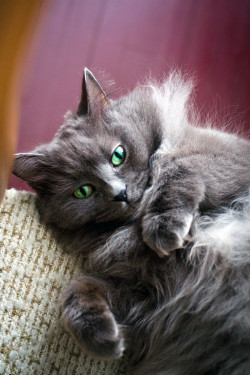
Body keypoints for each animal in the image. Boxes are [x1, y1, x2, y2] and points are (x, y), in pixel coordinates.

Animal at [13, 69, 250, 374]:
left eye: (118, 155)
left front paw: (163, 228)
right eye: (83, 191)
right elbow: (78, 288)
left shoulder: (229, 156)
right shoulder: (152, 295)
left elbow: (178, 165)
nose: (120, 193)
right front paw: (104, 339)